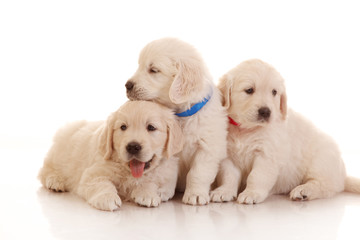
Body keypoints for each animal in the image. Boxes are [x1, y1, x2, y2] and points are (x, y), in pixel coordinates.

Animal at [38, 101, 183, 210]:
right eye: (123, 127)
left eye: (151, 127)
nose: (133, 146)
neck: (129, 172)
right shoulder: (93, 173)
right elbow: (102, 183)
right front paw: (107, 198)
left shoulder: (167, 176)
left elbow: (152, 182)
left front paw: (147, 193)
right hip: (59, 151)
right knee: (45, 170)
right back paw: (55, 181)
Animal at [126, 38, 228, 205]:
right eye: (139, 66)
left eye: (153, 70)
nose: (127, 85)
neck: (183, 115)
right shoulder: (169, 150)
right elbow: (169, 173)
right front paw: (163, 191)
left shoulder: (207, 148)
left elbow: (197, 173)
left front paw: (195, 194)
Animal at [211, 59, 360, 203]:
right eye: (249, 90)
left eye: (274, 92)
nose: (266, 112)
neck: (246, 129)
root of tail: (343, 176)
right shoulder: (228, 157)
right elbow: (229, 176)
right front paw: (223, 191)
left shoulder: (267, 155)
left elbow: (257, 176)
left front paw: (251, 193)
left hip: (321, 162)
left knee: (324, 185)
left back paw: (304, 191)